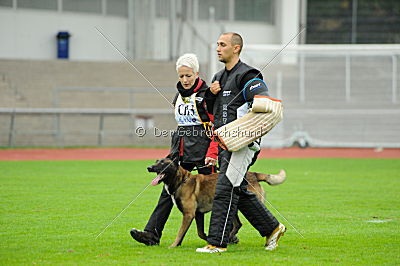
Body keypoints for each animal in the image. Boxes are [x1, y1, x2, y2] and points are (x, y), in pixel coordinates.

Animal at [148, 157, 288, 248]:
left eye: (163, 163)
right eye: (156, 162)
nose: (149, 167)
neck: (182, 180)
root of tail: (253, 174)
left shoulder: (189, 214)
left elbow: (180, 232)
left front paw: (174, 245)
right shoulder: (198, 214)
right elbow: (200, 233)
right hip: (233, 206)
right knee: (238, 224)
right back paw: (229, 238)